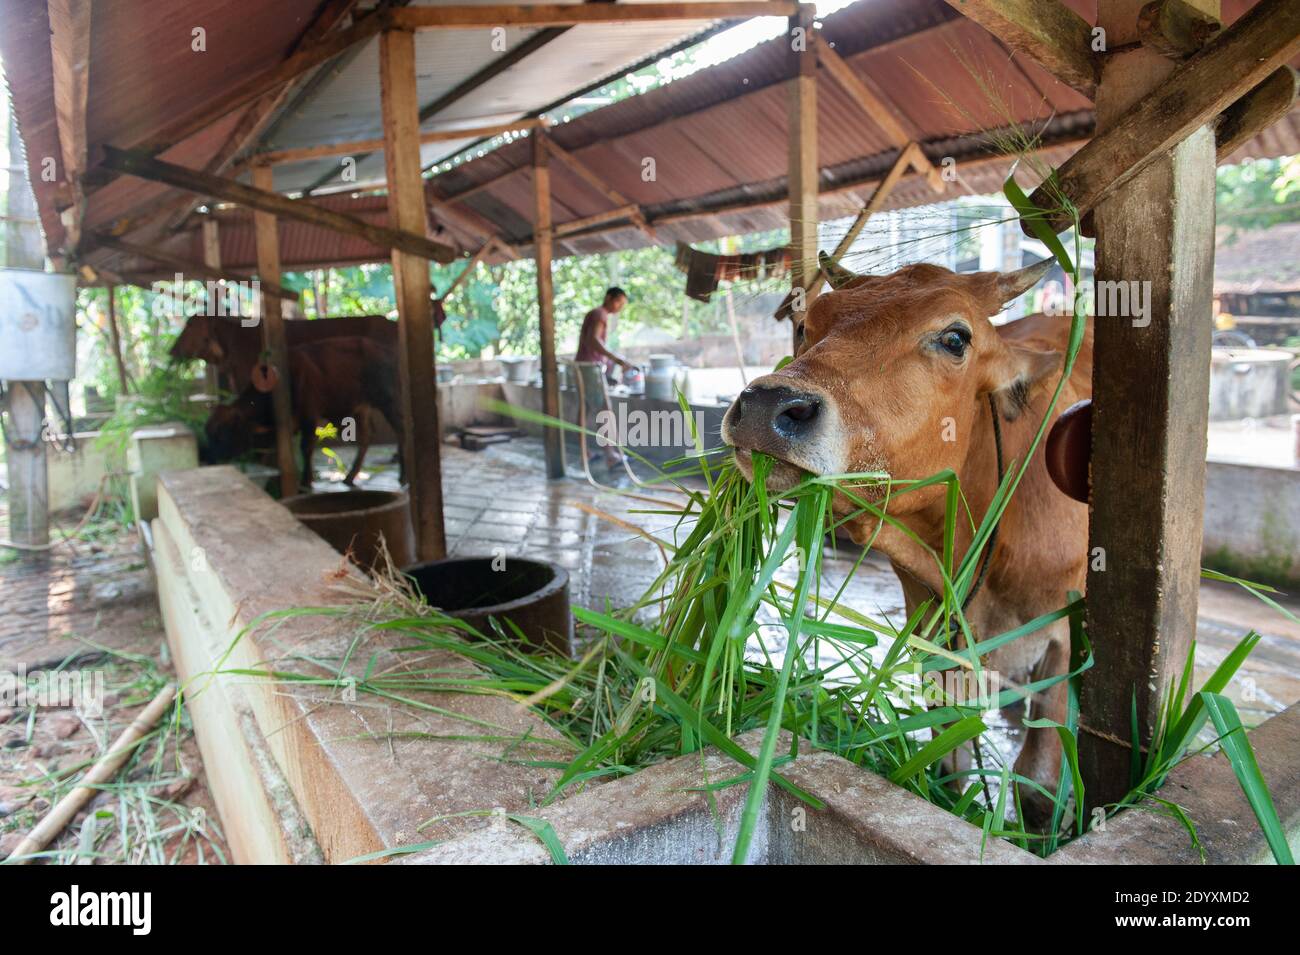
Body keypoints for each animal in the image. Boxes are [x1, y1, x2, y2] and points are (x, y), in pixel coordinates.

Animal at [204, 336, 404, 490]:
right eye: (209, 433)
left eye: (222, 432)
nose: (211, 458)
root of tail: (387, 352)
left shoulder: (309, 415)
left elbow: (306, 447)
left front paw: (305, 482)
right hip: (362, 408)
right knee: (366, 437)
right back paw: (349, 477)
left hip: (388, 401)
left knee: (400, 430)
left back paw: (402, 476)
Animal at [722, 252, 1092, 828]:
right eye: (806, 326)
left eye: (955, 338)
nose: (766, 407)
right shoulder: (933, 632)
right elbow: (948, 767)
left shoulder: (1064, 633)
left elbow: (1040, 791)